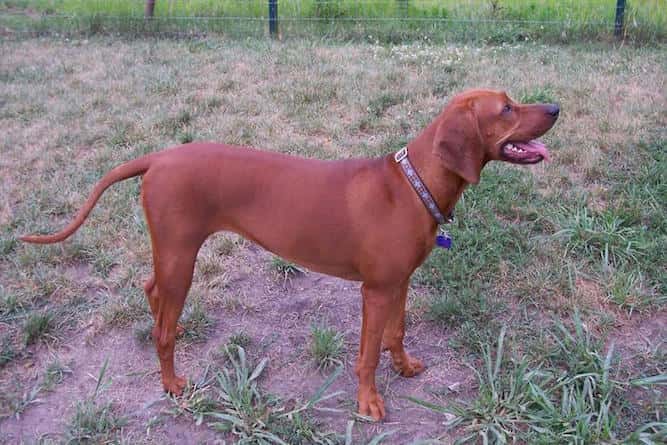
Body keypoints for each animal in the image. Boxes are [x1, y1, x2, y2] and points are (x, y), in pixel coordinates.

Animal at [20, 89, 560, 420]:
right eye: (506, 108)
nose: (555, 107)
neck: (413, 184)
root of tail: (158, 157)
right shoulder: (375, 290)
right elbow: (367, 353)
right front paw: (368, 402)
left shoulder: (399, 282)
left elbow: (397, 332)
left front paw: (404, 366)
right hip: (181, 258)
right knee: (164, 328)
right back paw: (172, 383)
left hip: (171, 256)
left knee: (151, 291)